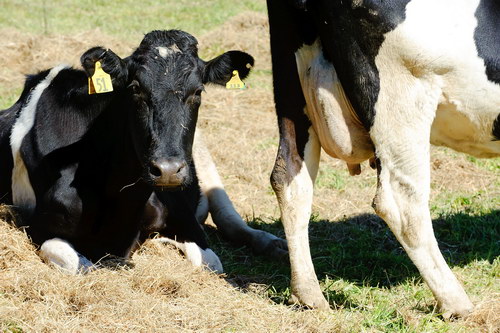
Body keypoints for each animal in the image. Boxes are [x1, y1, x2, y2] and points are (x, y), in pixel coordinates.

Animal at [0, 29, 288, 274]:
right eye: (136, 88)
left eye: (198, 91)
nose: (168, 171)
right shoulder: (41, 227)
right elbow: (79, 265)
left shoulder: (185, 217)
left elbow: (210, 264)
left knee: (228, 217)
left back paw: (276, 244)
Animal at [270, 0, 500, 316]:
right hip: (403, 93)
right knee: (400, 203)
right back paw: (457, 303)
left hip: (290, 80)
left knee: (289, 177)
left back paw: (309, 295)